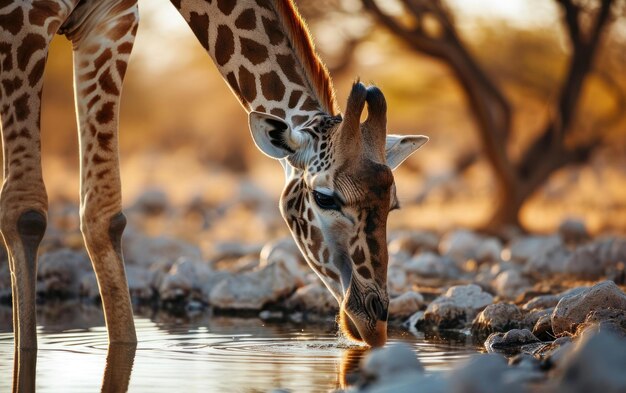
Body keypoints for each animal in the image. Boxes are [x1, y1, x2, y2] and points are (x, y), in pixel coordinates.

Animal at [0, 0, 426, 350]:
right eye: (324, 198)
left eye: (393, 205)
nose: (375, 324)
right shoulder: (27, 15)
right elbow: (24, 212)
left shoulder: (110, 21)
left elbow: (103, 215)